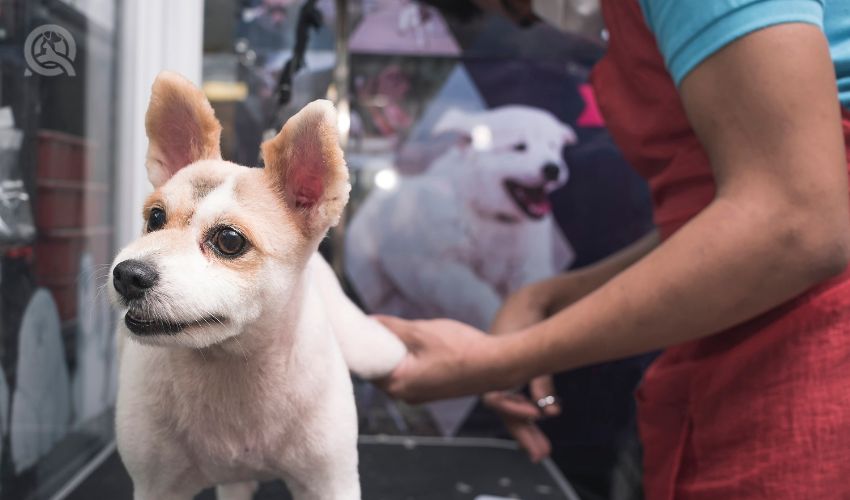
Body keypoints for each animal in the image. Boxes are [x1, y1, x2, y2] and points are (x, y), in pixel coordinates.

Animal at [108, 71, 404, 500]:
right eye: (155, 218)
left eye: (230, 241)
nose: (128, 275)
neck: (232, 364)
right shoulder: (156, 485)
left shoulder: (330, 482)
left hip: (369, 349)